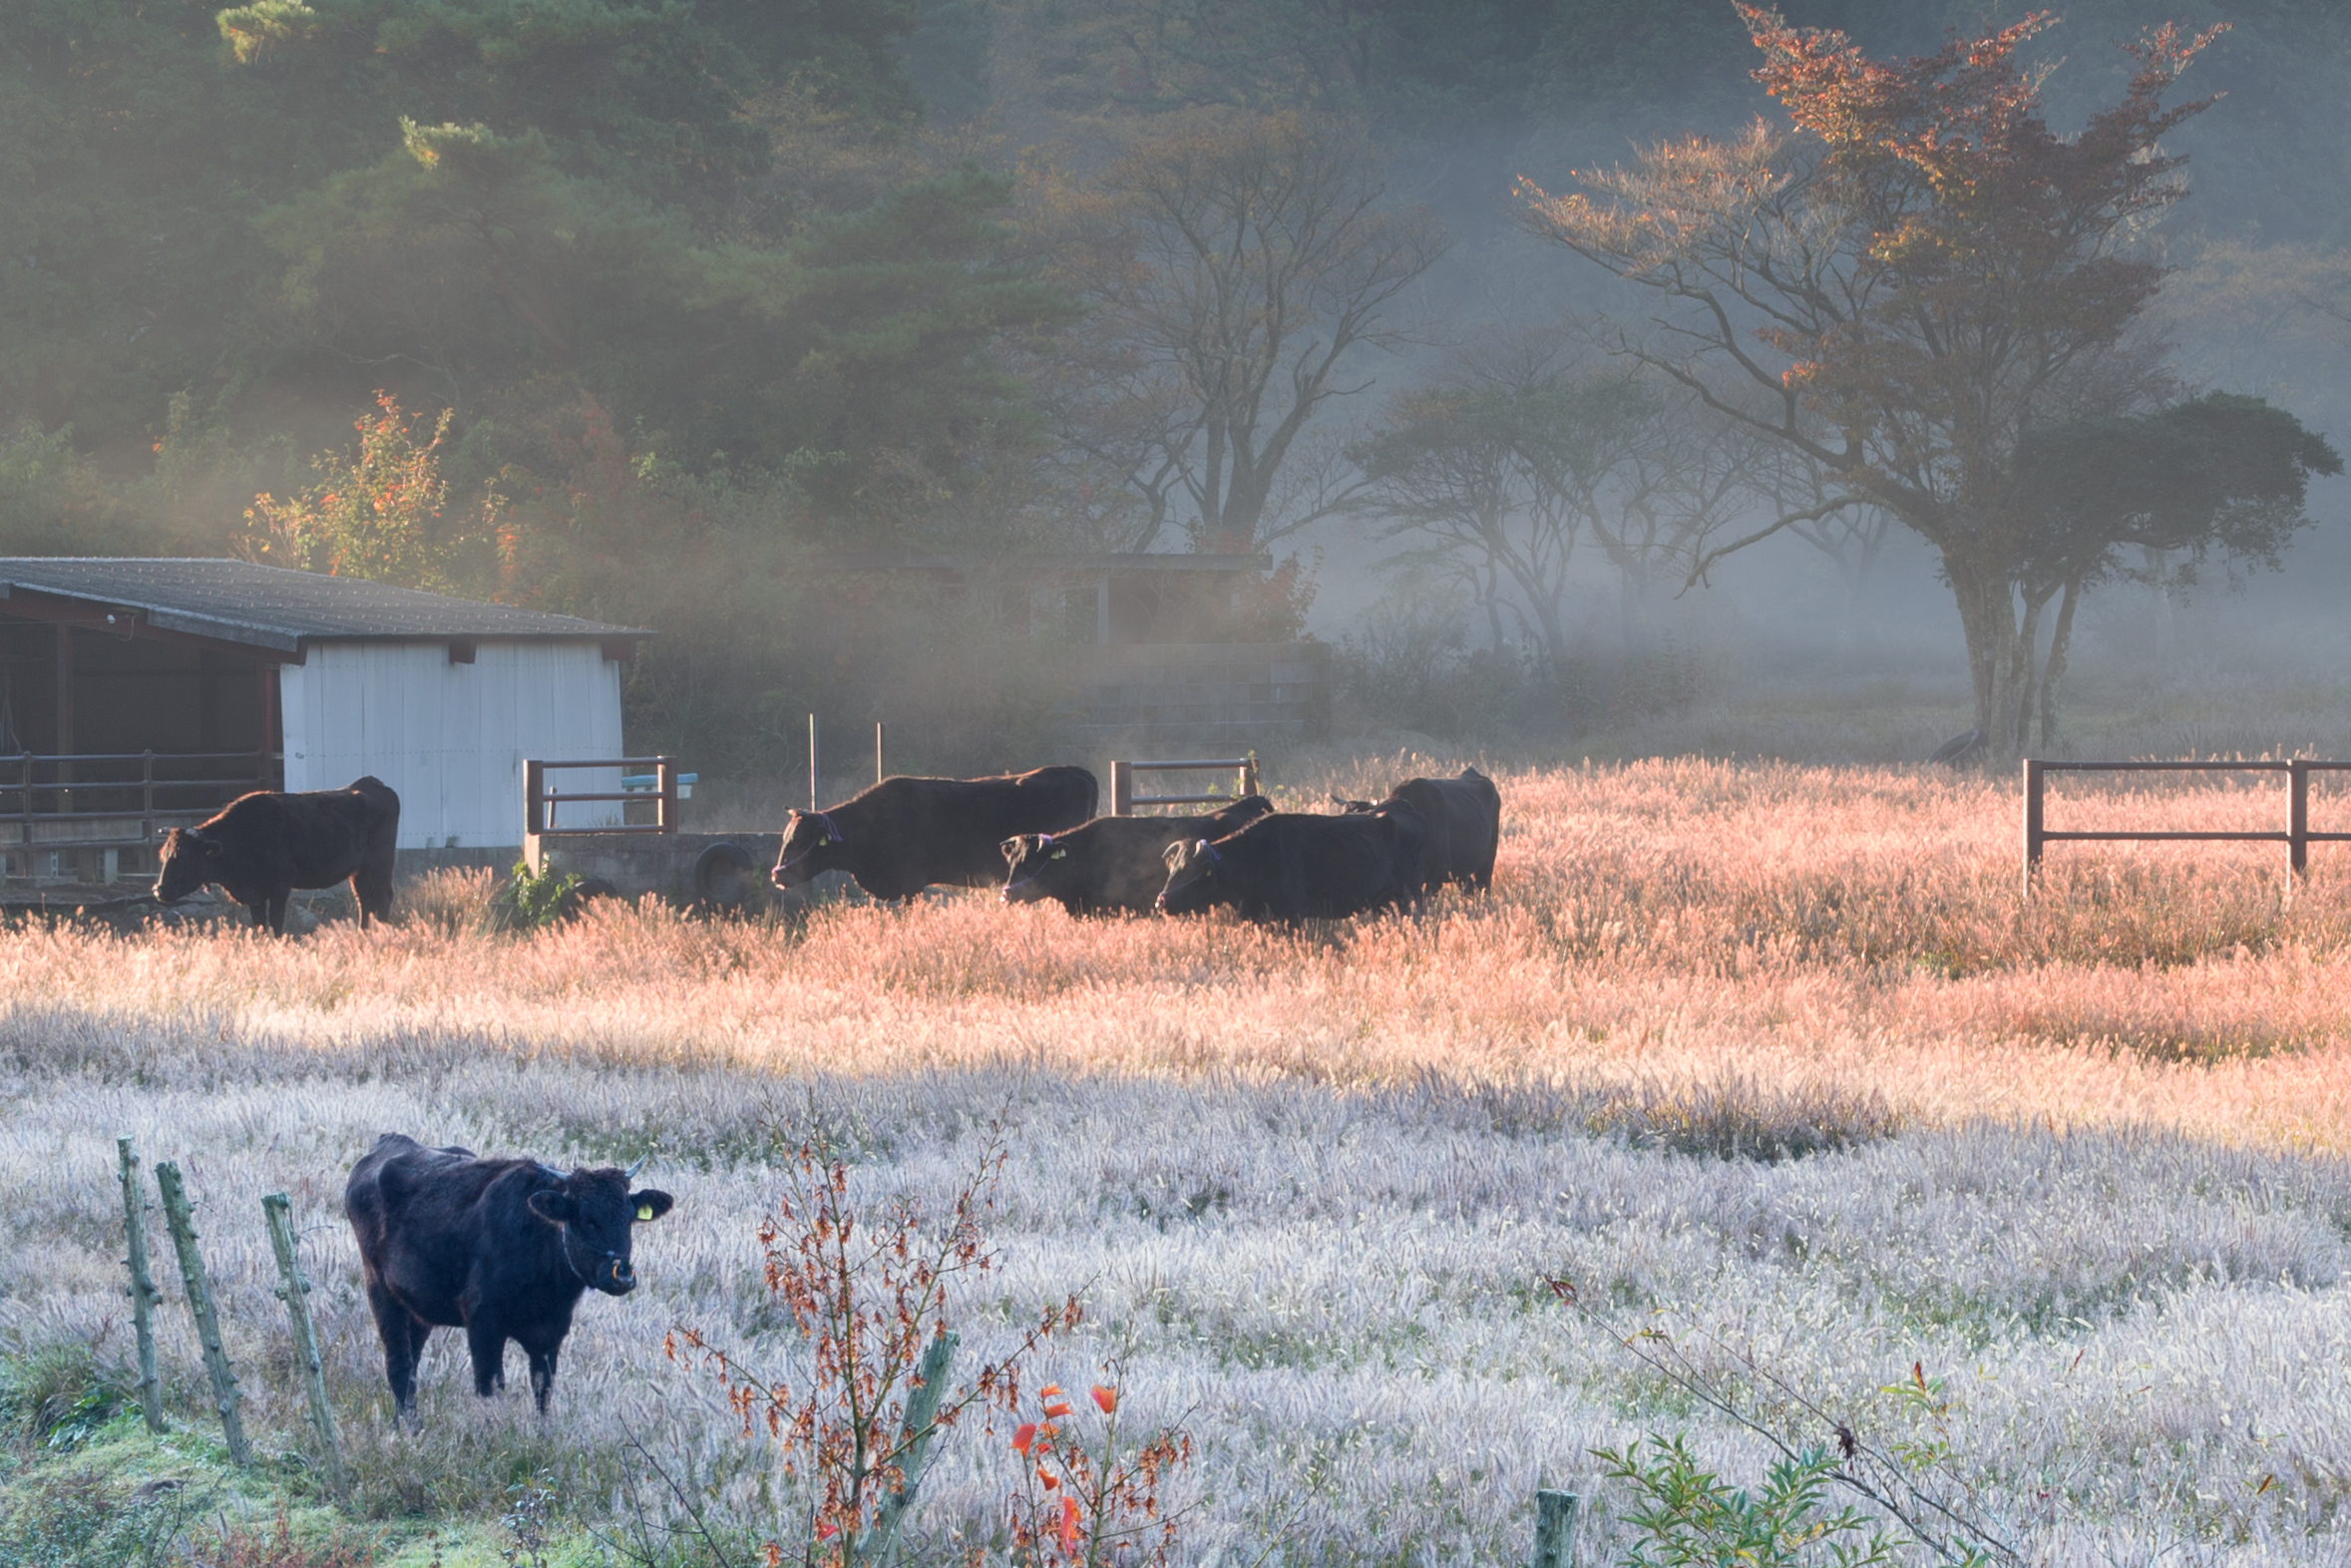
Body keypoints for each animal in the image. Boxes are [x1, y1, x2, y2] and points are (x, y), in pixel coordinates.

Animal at [154, 771, 399, 931]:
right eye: (163, 856)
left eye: (183, 857)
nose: (159, 890)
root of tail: (373, 784)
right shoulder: (255, 894)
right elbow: (261, 926)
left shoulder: (281, 885)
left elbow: (276, 923)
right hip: (360, 871)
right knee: (365, 900)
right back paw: (364, 935)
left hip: (381, 864)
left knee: (383, 897)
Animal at [340, 1128, 676, 1419]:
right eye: (585, 1219)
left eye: (629, 1218)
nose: (623, 1276)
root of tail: (388, 1142)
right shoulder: (483, 1325)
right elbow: (490, 1387)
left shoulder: (550, 1334)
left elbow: (543, 1391)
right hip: (381, 1292)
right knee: (398, 1364)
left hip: (418, 1309)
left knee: (412, 1363)